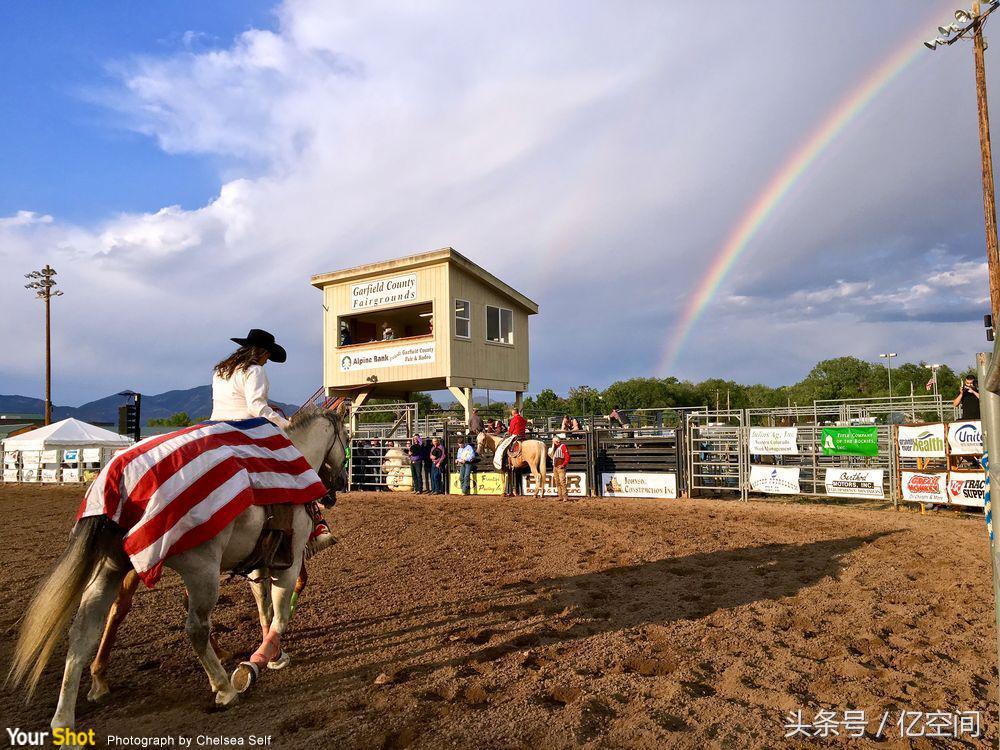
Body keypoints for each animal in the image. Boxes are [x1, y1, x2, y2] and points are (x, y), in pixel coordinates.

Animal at [8, 408, 348, 736]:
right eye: (345, 437)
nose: (339, 484)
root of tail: (119, 479)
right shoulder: (289, 561)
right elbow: (280, 614)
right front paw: (259, 661)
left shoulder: (260, 563)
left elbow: (264, 608)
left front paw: (273, 654)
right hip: (202, 571)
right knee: (195, 628)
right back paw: (223, 688)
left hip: (111, 568)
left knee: (85, 630)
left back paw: (65, 717)